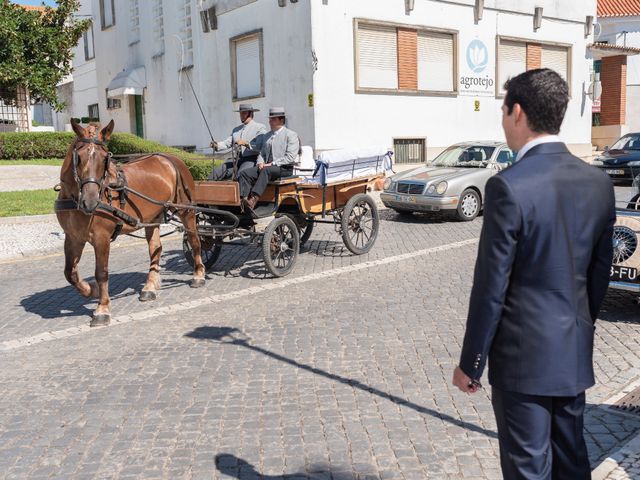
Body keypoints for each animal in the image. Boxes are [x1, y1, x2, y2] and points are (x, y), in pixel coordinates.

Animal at [57, 119, 204, 326]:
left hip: (186, 211)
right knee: (156, 248)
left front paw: (102, 308)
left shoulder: (101, 238)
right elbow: (69, 273)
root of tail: (171, 158)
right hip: (152, 216)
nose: (91, 201)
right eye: (79, 157)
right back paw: (150, 286)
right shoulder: (73, 238)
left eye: (105, 158)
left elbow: (101, 272)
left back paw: (198, 274)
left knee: (194, 241)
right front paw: (91, 290)